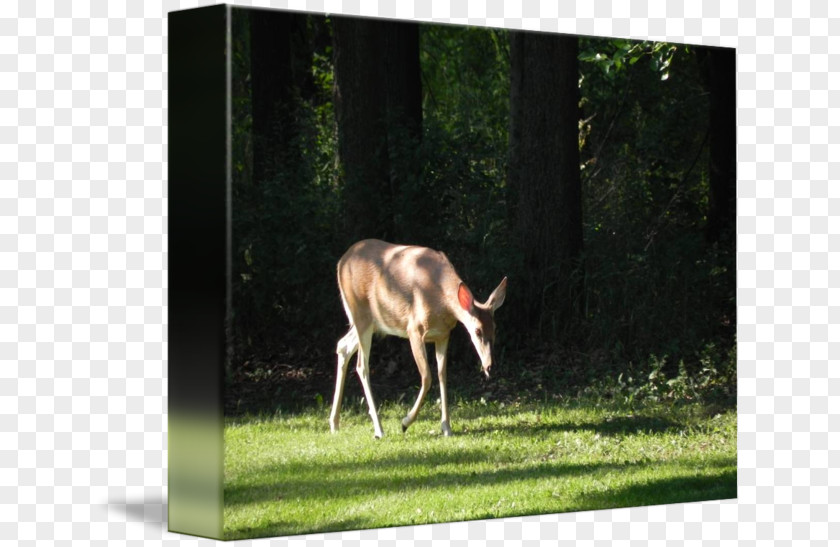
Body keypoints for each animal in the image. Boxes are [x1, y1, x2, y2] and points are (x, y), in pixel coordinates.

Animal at [328, 240, 506, 440]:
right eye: (477, 331)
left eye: (495, 328)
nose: (489, 365)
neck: (440, 300)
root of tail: (341, 262)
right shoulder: (414, 329)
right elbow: (427, 376)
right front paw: (405, 422)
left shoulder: (443, 334)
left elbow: (442, 375)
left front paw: (446, 427)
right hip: (360, 314)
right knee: (361, 365)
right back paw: (378, 429)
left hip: (372, 323)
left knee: (342, 345)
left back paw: (334, 423)